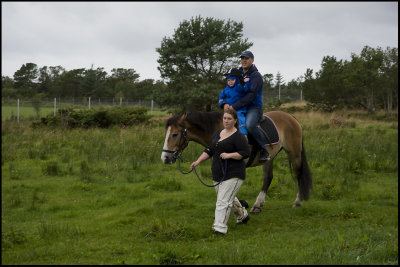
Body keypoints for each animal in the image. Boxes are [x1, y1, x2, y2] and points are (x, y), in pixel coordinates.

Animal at [161, 111, 310, 214]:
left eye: (175, 134)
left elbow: (230, 189)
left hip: (294, 153)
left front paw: (239, 208)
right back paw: (258, 205)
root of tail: (291, 117)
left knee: (298, 174)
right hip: (270, 158)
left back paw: (298, 201)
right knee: (268, 178)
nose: (165, 158)